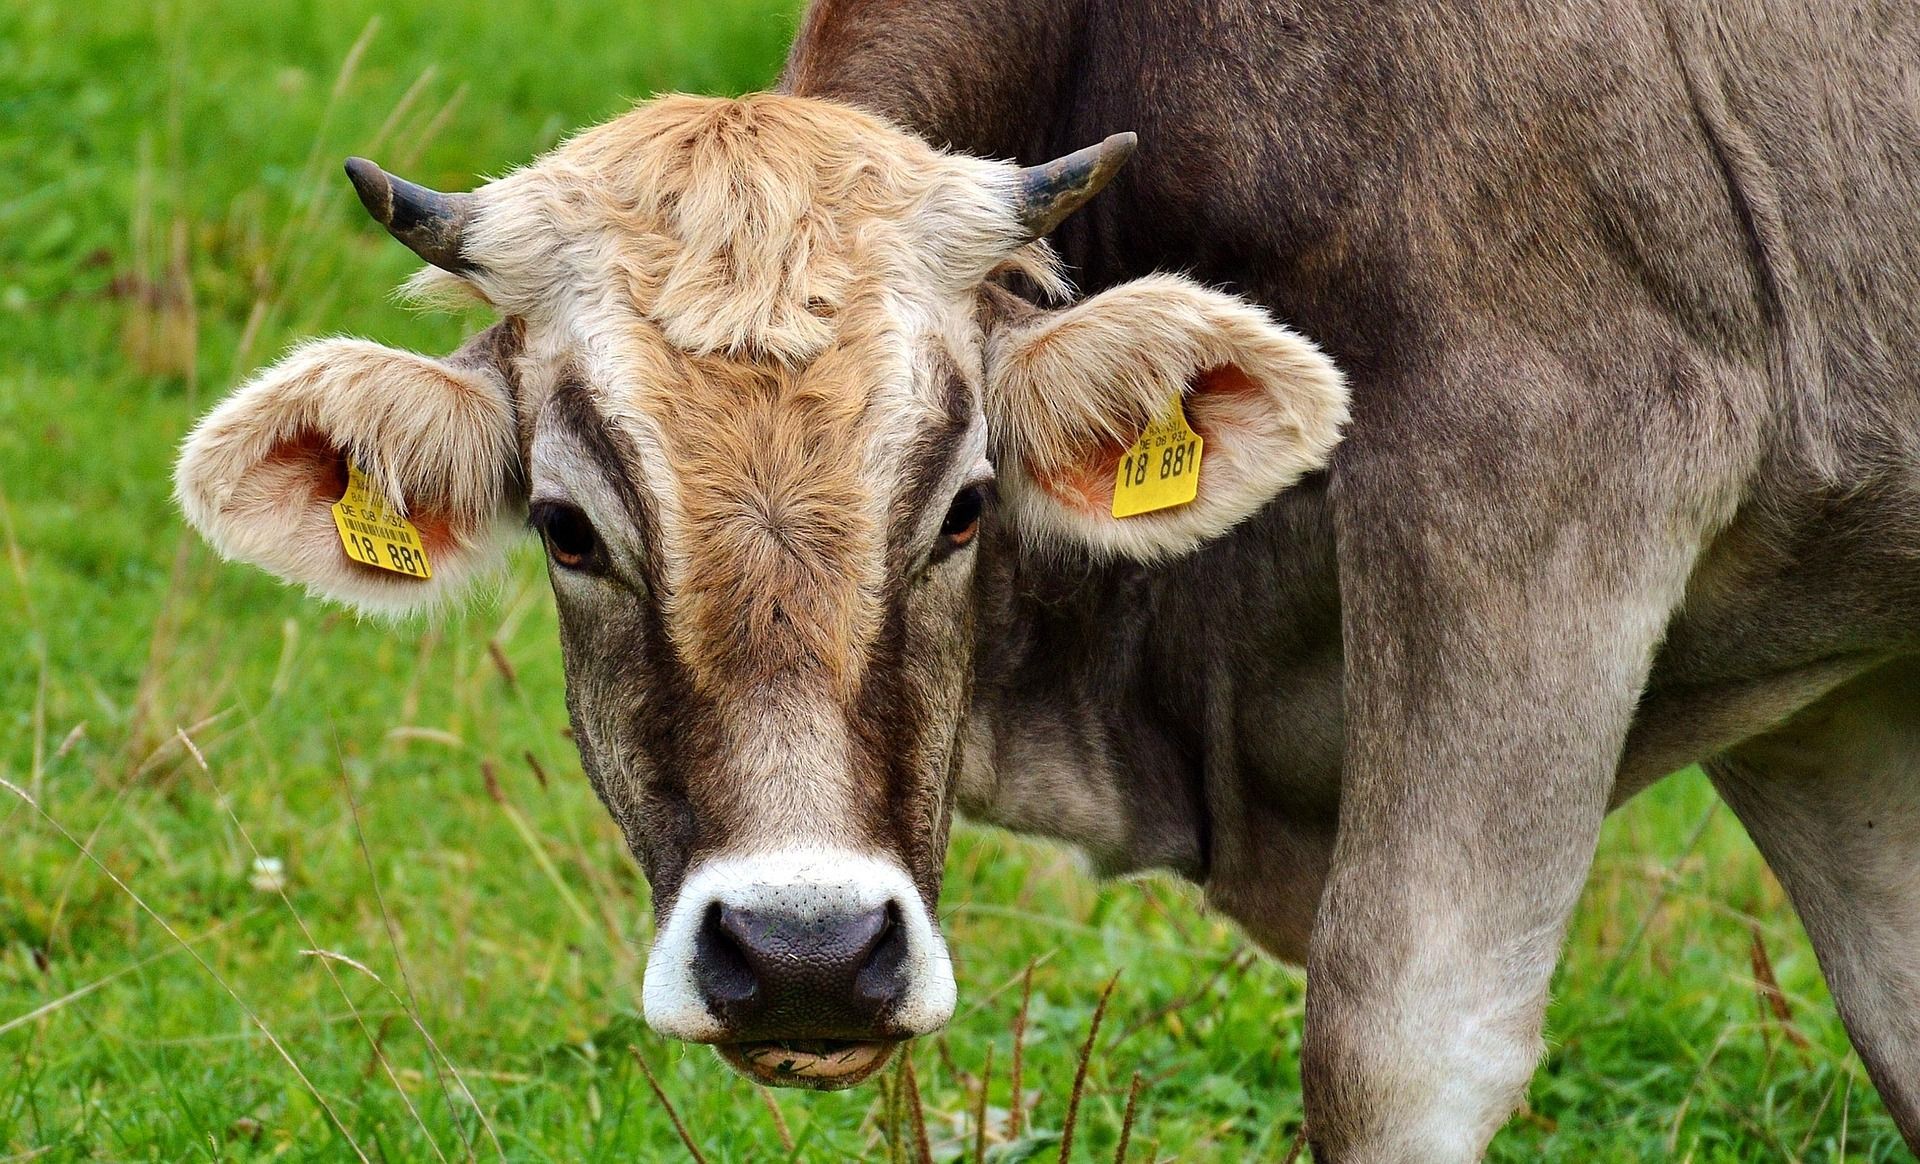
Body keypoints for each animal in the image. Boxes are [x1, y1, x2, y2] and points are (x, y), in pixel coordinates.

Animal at [172, 0, 1920, 1157]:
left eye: (963, 509)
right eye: (566, 526)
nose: (804, 956)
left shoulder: (1547, 484)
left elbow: (1401, 1044)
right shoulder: (1828, 682)